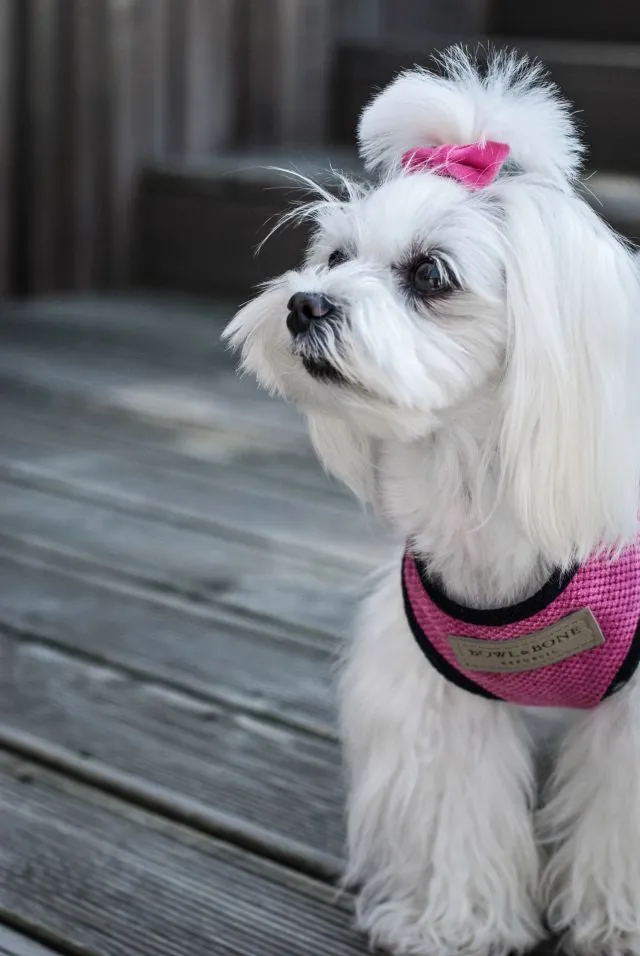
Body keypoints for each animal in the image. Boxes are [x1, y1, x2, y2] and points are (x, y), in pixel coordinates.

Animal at [224, 46, 640, 956]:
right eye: (335, 257)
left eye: (430, 274)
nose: (304, 304)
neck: (476, 476)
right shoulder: (444, 695)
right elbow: (459, 806)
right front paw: (452, 924)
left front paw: (618, 921)